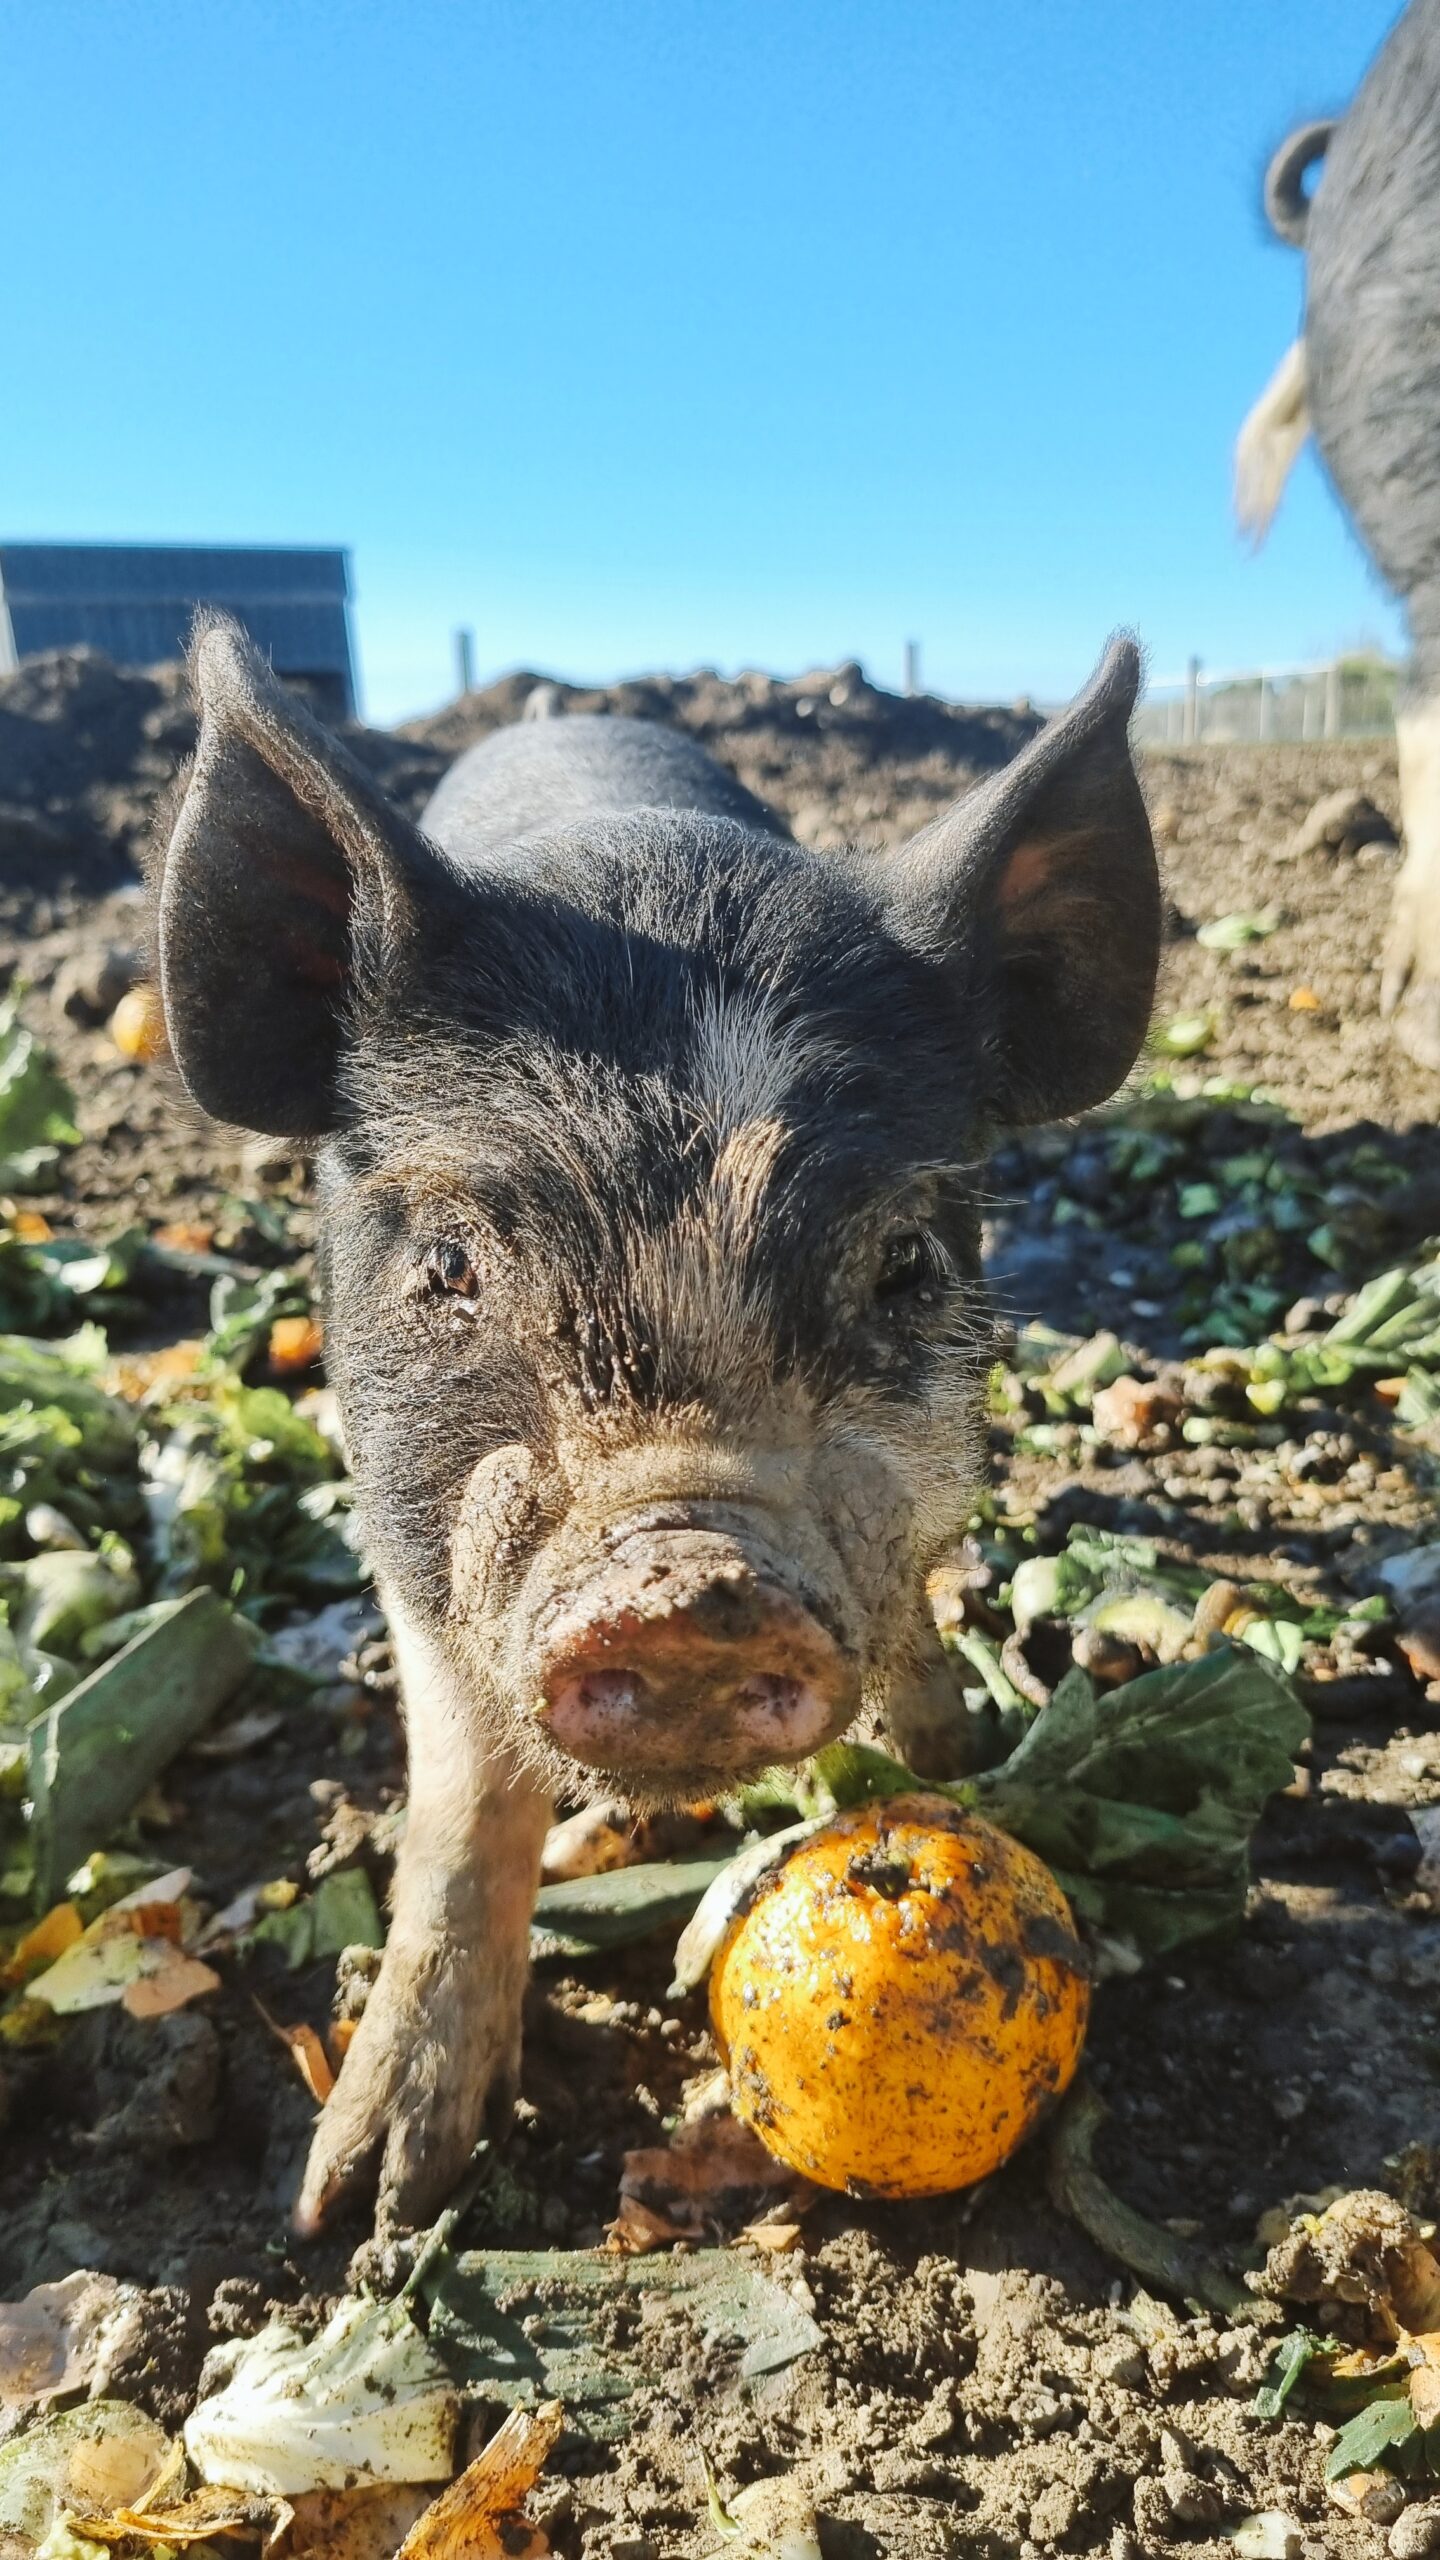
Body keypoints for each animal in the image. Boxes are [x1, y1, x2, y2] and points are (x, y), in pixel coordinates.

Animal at [155, 620, 1159, 2231]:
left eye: (905, 1261)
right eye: (451, 1264)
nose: (691, 1582)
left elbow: (913, 1611)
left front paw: (953, 1763)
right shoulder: (407, 1532)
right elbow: (461, 1800)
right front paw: (367, 2204)